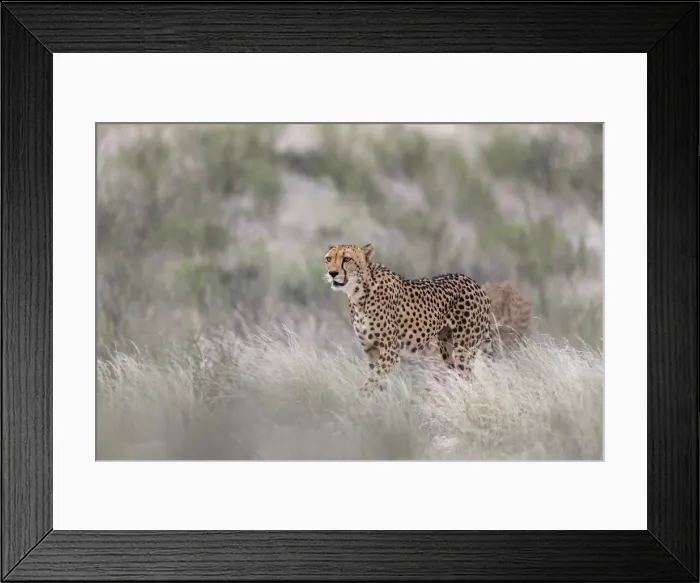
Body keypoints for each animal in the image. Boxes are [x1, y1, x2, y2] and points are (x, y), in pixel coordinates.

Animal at [324, 243, 494, 392]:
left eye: (347, 259)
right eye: (328, 259)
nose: (332, 273)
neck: (358, 294)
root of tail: (475, 284)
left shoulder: (390, 350)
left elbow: (372, 382)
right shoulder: (370, 348)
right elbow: (378, 383)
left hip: (463, 351)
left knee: (471, 381)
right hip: (447, 349)